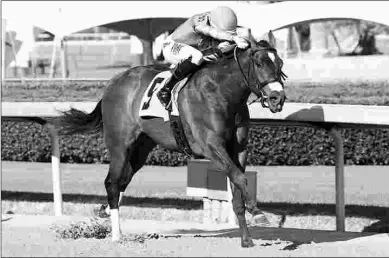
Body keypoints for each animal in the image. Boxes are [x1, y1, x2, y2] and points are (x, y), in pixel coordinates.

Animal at [53, 31, 284, 247]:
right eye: (259, 63)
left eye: (280, 63)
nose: (278, 98)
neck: (222, 91)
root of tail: (113, 83)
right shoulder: (211, 146)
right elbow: (240, 178)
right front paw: (259, 213)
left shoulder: (239, 149)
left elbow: (237, 188)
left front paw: (246, 239)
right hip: (119, 144)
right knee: (112, 182)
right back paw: (116, 235)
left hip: (141, 147)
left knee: (123, 180)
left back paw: (105, 212)